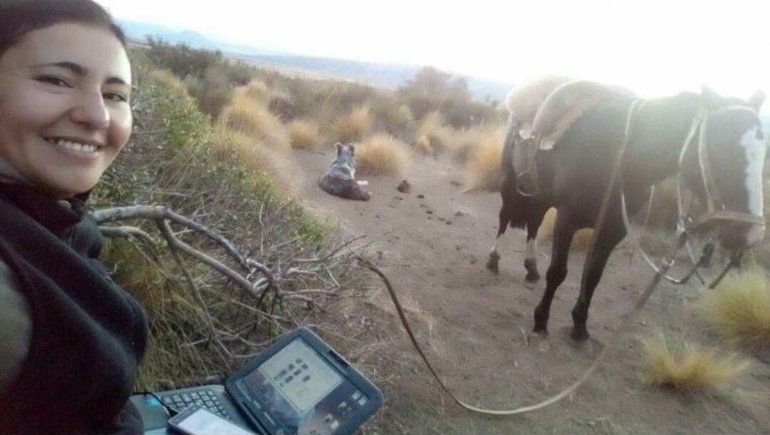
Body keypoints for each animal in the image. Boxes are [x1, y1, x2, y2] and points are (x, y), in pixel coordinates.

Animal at [487, 80, 766, 341]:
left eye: (764, 154)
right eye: (722, 147)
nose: (751, 234)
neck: (619, 155)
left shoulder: (614, 229)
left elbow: (593, 276)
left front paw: (580, 327)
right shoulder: (567, 219)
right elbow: (557, 272)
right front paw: (541, 320)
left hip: (540, 194)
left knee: (534, 224)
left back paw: (531, 268)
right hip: (511, 185)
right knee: (504, 219)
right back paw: (494, 259)